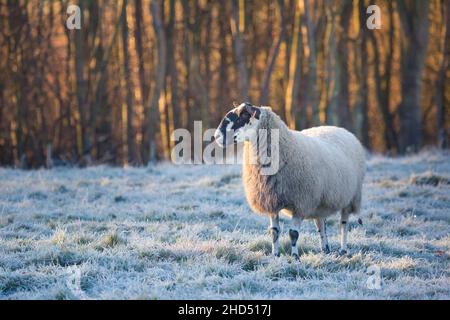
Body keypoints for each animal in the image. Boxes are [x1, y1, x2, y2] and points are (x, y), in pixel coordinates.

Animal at [214, 102, 366, 258]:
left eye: (243, 115)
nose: (216, 136)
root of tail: (341, 129)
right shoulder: (272, 201)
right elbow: (274, 232)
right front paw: (275, 256)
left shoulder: (301, 202)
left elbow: (293, 234)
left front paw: (295, 257)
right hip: (320, 200)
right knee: (321, 225)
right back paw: (325, 249)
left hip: (351, 196)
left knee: (344, 224)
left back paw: (343, 249)